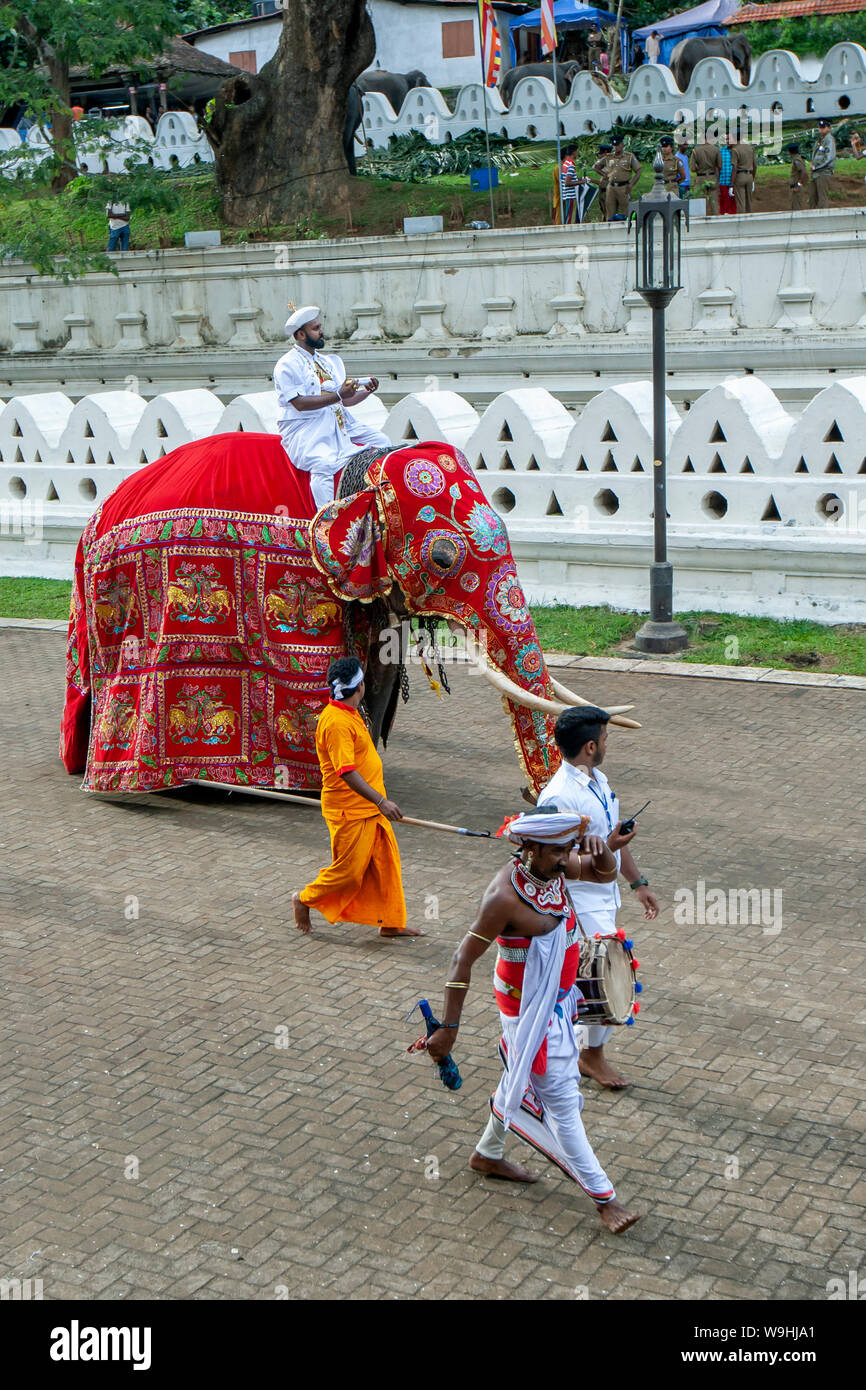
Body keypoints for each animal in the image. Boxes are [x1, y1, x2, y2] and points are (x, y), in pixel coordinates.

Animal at [57, 433, 633, 806]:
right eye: (443, 557)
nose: (531, 798)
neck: (358, 474)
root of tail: (93, 520)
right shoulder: (319, 586)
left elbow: (377, 678)